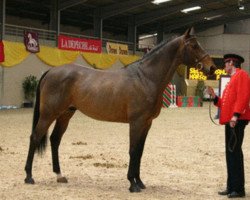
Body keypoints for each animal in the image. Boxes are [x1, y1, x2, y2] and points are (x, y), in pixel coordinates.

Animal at [23, 27, 215, 192]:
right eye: (194, 46)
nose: (212, 67)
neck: (145, 78)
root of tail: (51, 71)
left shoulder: (147, 124)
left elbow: (140, 152)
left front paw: (140, 182)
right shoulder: (136, 122)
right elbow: (133, 150)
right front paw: (132, 184)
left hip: (65, 114)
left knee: (55, 140)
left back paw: (59, 175)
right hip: (48, 114)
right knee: (35, 137)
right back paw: (29, 177)